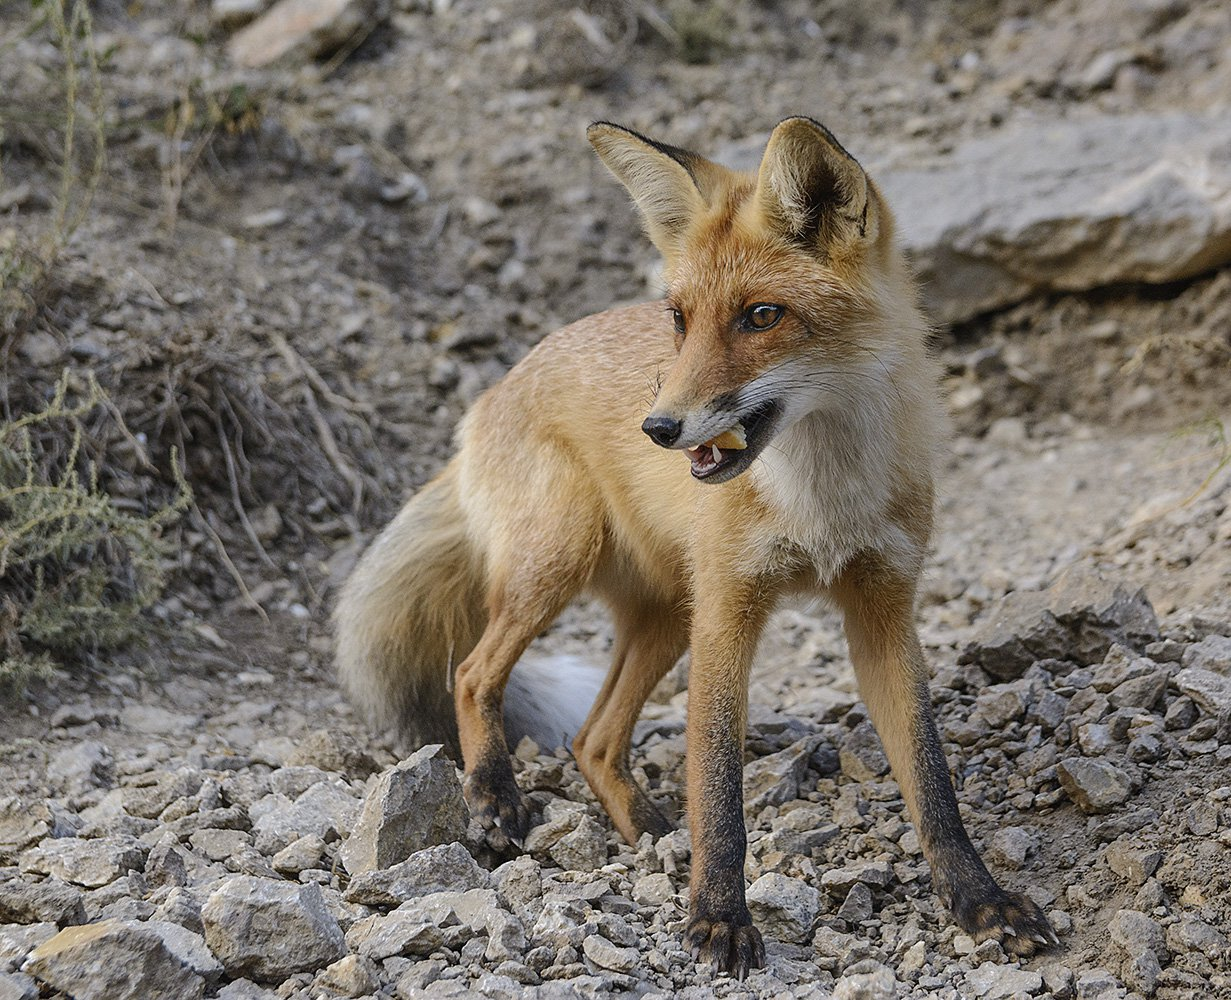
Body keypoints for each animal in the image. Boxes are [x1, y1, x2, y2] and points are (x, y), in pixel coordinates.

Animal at [337, 116, 1058, 975]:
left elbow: (932, 784)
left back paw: (645, 831)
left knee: (593, 739)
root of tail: (493, 390)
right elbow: (717, 790)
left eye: (761, 316)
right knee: (475, 672)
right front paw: (717, 917)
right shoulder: (727, 611)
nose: (658, 428)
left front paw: (980, 902)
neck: (822, 503)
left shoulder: (883, 610)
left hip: (664, 617)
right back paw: (492, 796)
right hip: (559, 569)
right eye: (678, 319)